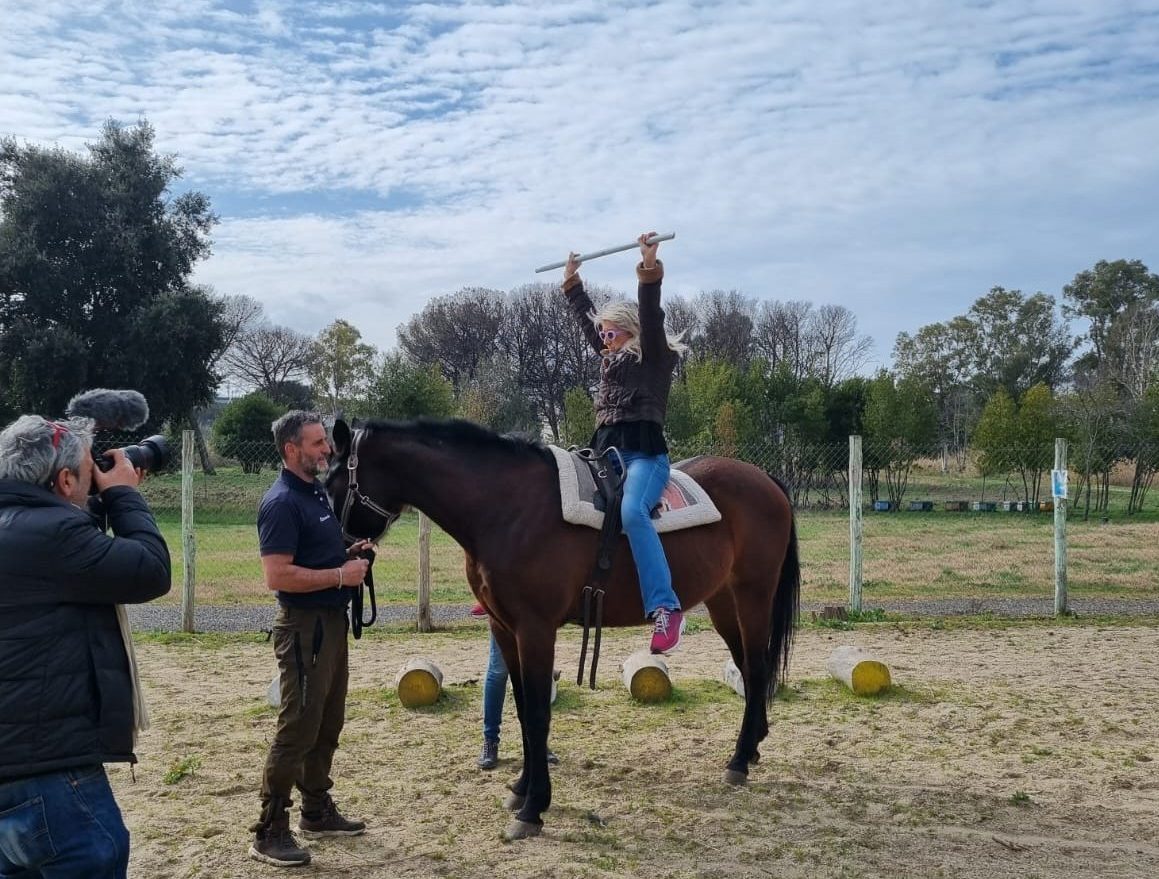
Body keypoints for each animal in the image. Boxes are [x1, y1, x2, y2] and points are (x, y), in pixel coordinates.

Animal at [324, 417, 797, 844]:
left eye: (332, 485)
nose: (337, 554)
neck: (507, 508)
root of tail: (765, 479)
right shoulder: (504, 628)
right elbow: (520, 708)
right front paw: (521, 790)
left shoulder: (535, 629)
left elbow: (537, 713)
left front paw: (534, 808)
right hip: (723, 602)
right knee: (747, 667)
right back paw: (752, 746)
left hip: (753, 595)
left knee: (757, 667)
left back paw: (738, 761)